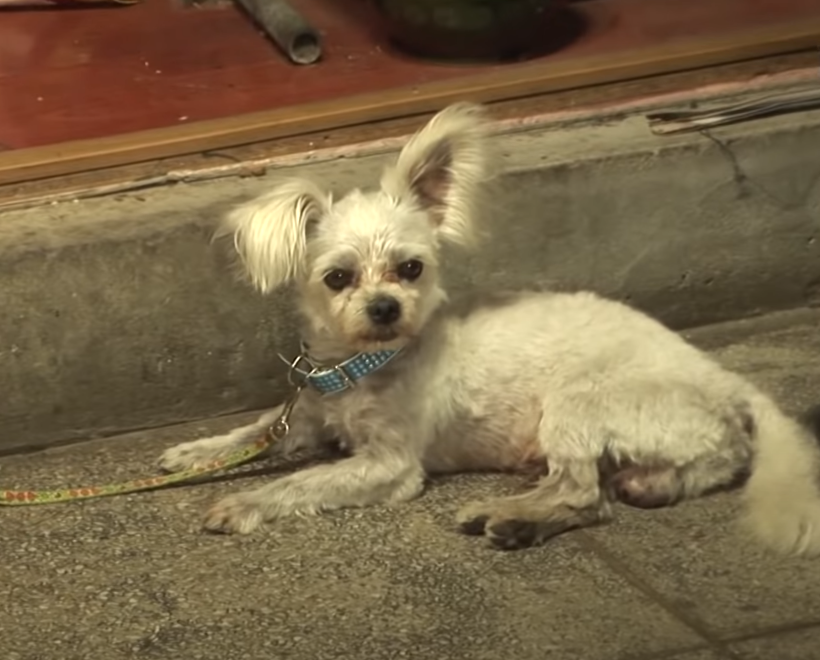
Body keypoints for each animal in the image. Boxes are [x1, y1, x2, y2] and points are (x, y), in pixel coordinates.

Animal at [160, 103, 820, 556]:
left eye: (410, 268)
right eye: (338, 277)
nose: (385, 308)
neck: (360, 365)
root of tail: (732, 389)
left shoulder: (389, 465)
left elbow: (304, 481)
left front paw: (246, 500)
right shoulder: (308, 416)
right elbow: (255, 430)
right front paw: (196, 451)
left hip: (578, 403)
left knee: (582, 492)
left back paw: (510, 516)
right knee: (603, 495)